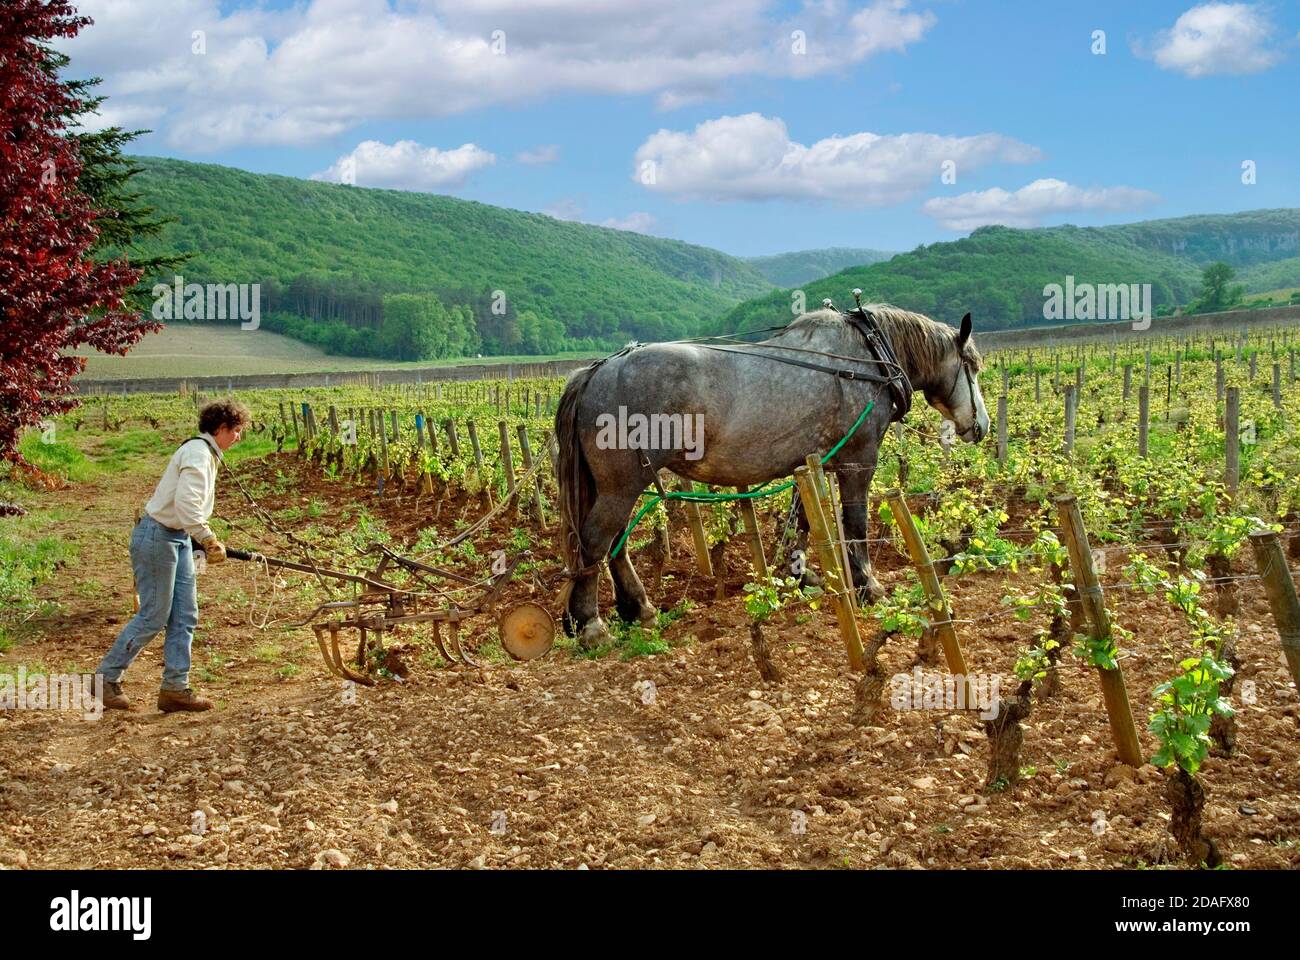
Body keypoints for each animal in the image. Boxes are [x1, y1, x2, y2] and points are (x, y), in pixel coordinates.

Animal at [554, 304, 990, 648]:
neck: (866, 361)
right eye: (970, 365)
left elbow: (802, 523)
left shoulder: (809, 463)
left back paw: (637, 609)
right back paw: (591, 625)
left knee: (616, 543)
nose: (981, 426)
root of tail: (598, 370)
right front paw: (870, 587)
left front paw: (800, 576)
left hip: (623, 484)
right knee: (594, 543)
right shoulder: (858, 459)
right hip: (621, 485)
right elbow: (855, 525)